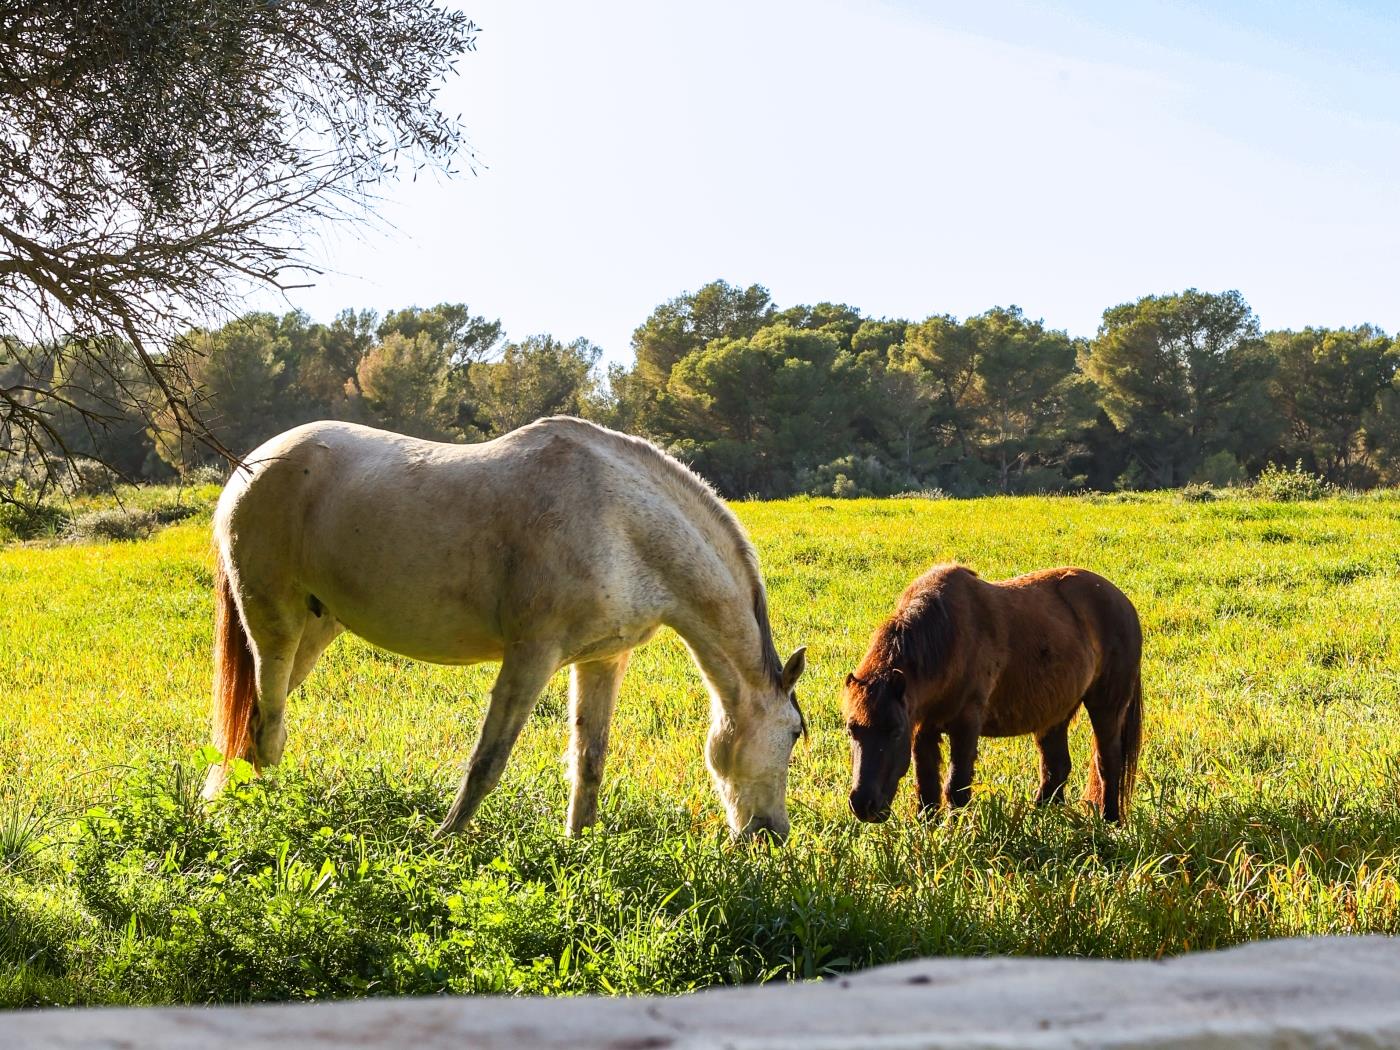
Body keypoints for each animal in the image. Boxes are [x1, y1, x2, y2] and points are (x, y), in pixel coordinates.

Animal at [200, 417, 812, 840]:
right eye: (792, 734)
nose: (772, 834)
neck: (620, 522)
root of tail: (249, 467)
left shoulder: (601, 661)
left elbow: (589, 760)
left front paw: (578, 850)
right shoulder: (531, 655)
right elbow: (486, 762)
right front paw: (440, 845)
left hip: (314, 631)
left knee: (254, 727)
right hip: (273, 625)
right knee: (267, 729)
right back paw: (267, 819)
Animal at [834, 568, 1142, 823]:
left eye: (895, 732)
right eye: (851, 730)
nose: (863, 805)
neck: (950, 639)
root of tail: (1123, 602)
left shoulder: (966, 723)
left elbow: (956, 787)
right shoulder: (923, 728)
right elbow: (927, 788)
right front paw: (928, 833)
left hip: (1106, 707)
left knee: (1108, 762)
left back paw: (1109, 823)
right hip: (1055, 714)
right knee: (1056, 768)